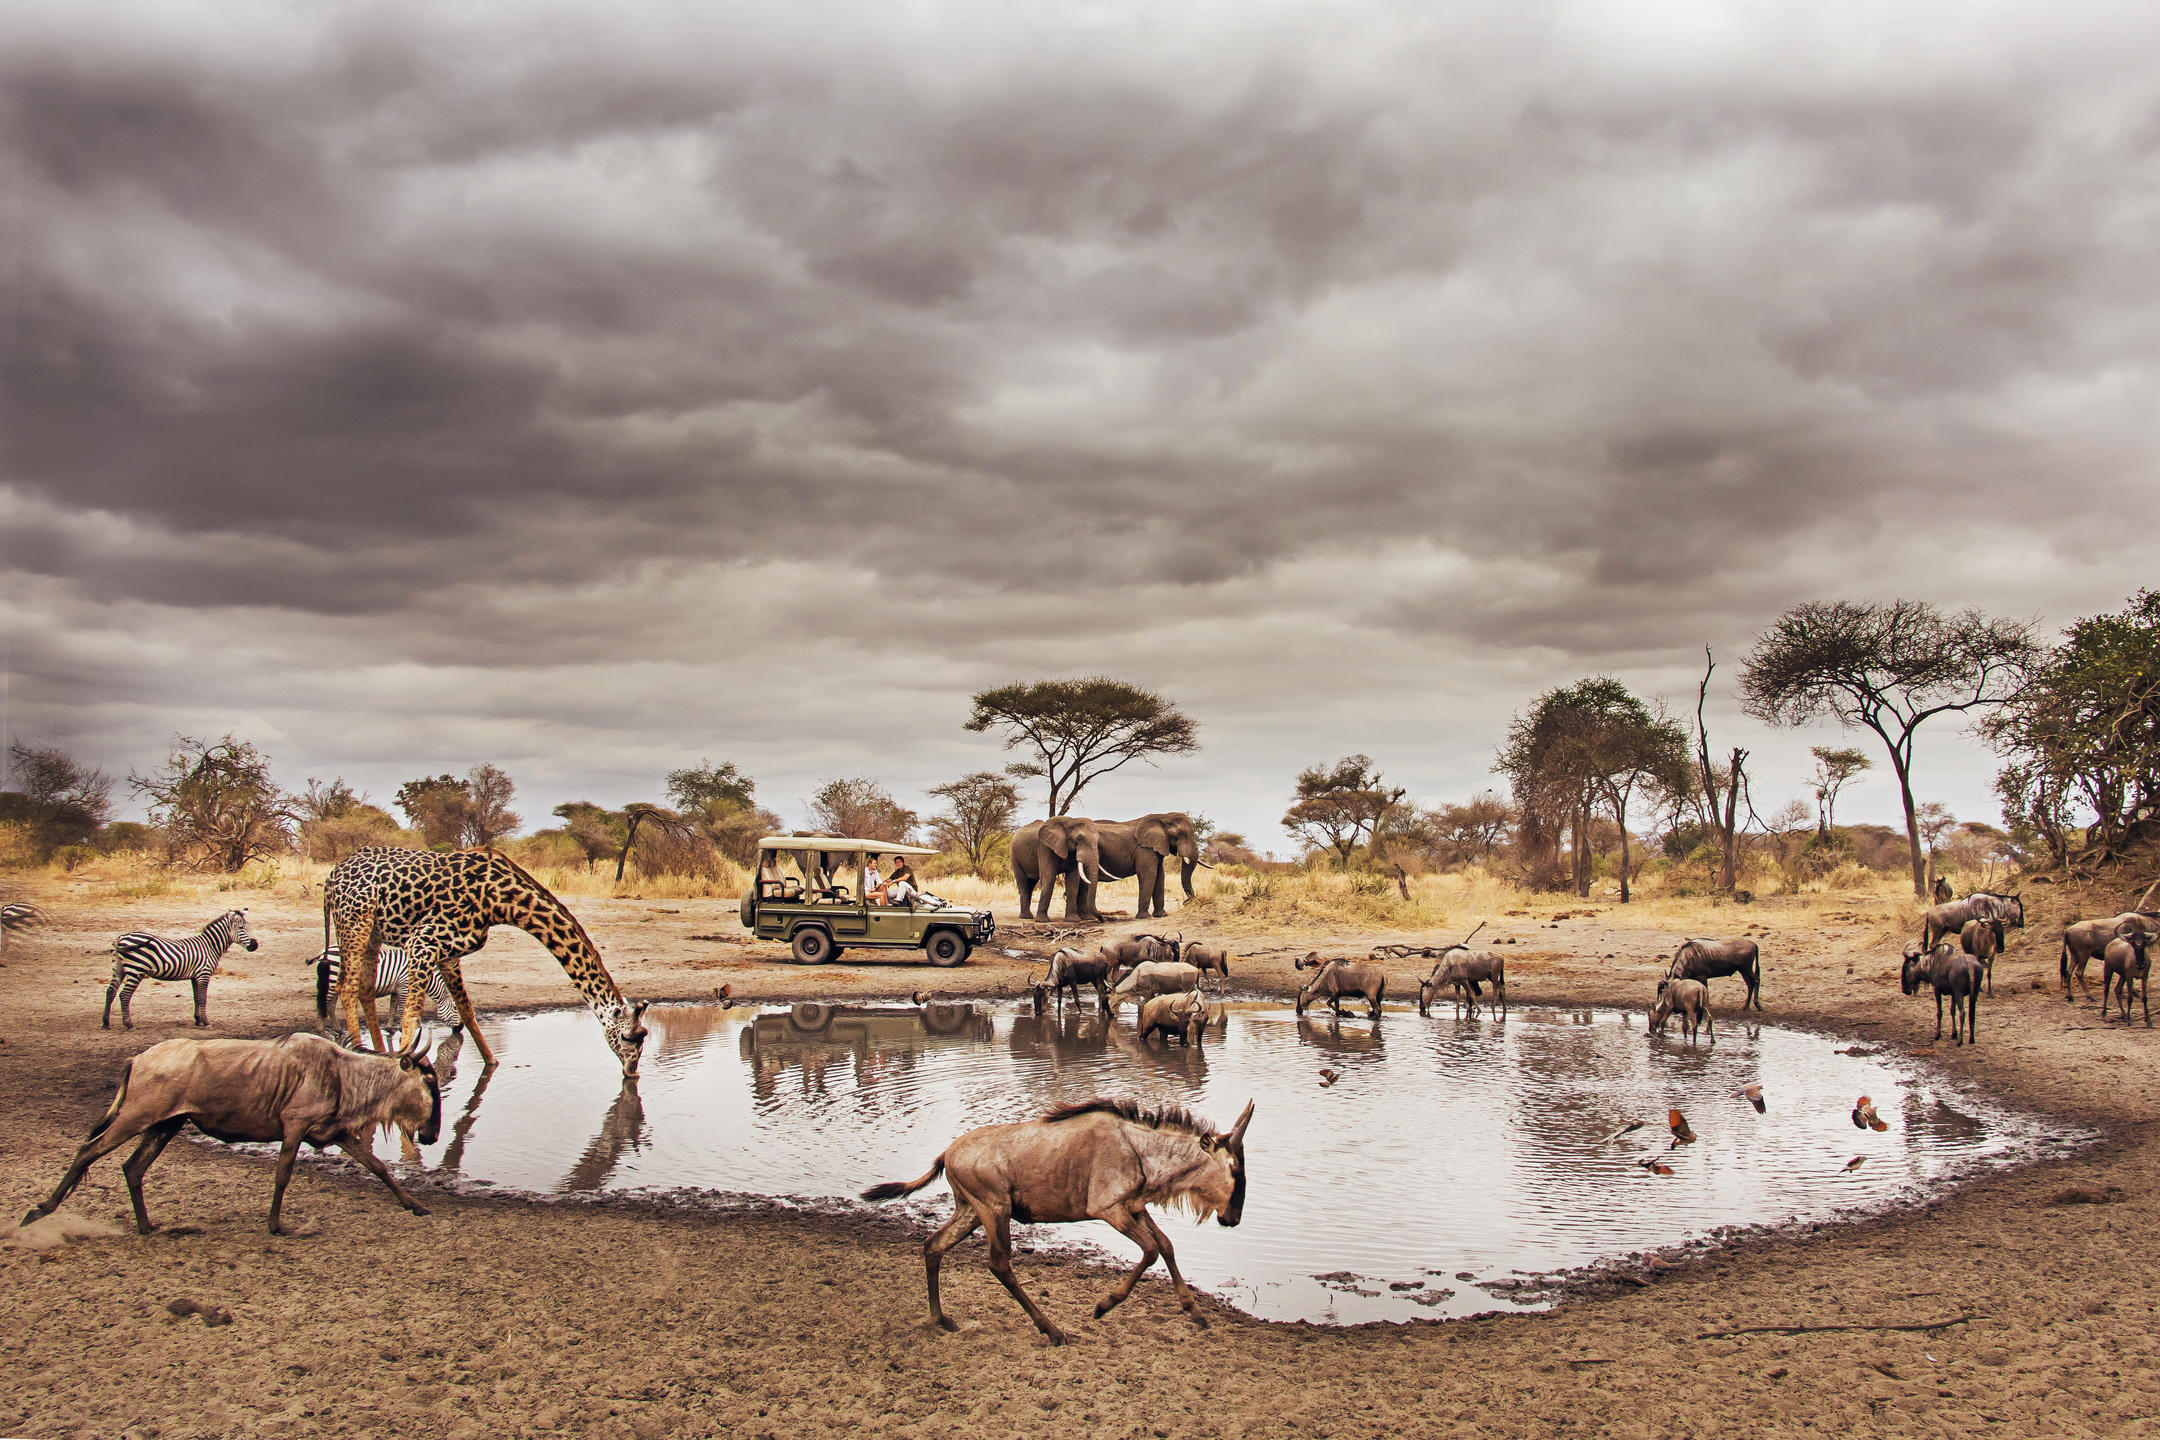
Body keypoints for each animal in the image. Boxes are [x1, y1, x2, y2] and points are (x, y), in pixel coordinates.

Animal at [104, 906, 257, 1031]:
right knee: (124, 995)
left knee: (110, 991)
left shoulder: (195, 976)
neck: (210, 946)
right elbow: (203, 998)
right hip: (136, 970)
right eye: (241, 928)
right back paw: (129, 1024)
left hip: (118, 969)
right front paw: (206, 1023)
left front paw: (198, 1020)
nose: (255, 946)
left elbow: (196, 997)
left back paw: (106, 1023)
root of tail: (120, 937)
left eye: (249, 927)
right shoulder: (204, 973)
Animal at [313, 945, 460, 1036]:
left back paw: (338, 1030)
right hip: (331, 981)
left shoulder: (396, 988)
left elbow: (392, 1008)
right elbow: (401, 1009)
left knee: (330, 1005)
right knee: (324, 1003)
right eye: (455, 1008)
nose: (459, 1029)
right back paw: (321, 1031)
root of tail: (323, 952)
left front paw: (390, 1028)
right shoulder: (403, 986)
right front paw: (402, 1028)